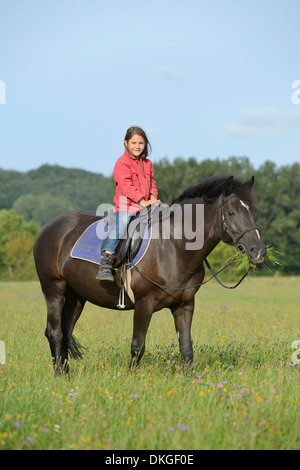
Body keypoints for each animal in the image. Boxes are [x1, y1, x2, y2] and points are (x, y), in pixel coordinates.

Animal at [34, 175, 266, 374]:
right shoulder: (144, 304)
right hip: (53, 289)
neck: (173, 246)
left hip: (76, 297)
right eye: (231, 213)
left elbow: (186, 348)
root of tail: (48, 227)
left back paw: (65, 372)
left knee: (65, 330)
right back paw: (59, 375)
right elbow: (138, 346)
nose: (259, 251)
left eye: (255, 212)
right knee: (54, 332)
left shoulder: (185, 305)